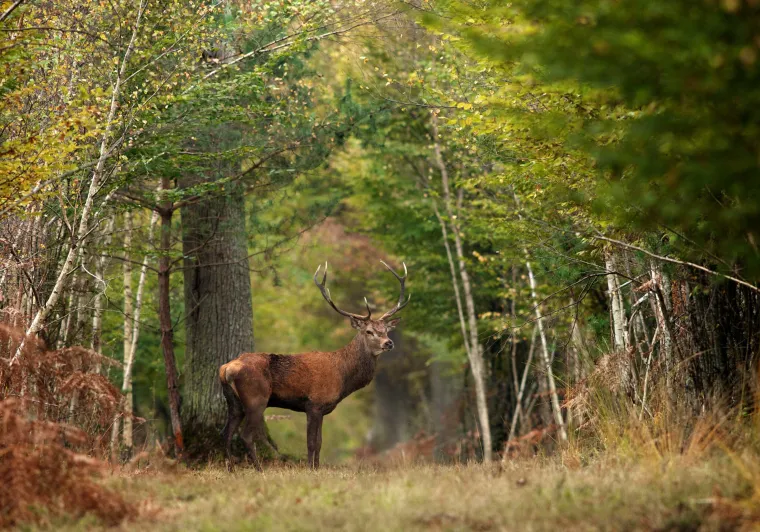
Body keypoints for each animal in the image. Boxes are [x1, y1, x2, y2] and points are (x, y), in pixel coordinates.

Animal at [219, 261, 410, 470]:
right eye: (369, 331)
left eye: (385, 330)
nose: (388, 343)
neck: (342, 376)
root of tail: (226, 369)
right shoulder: (314, 404)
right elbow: (311, 442)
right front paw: (311, 468)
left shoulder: (323, 409)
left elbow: (319, 442)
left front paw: (316, 467)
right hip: (256, 398)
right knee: (245, 435)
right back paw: (259, 469)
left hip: (234, 402)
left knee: (226, 433)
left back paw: (231, 468)